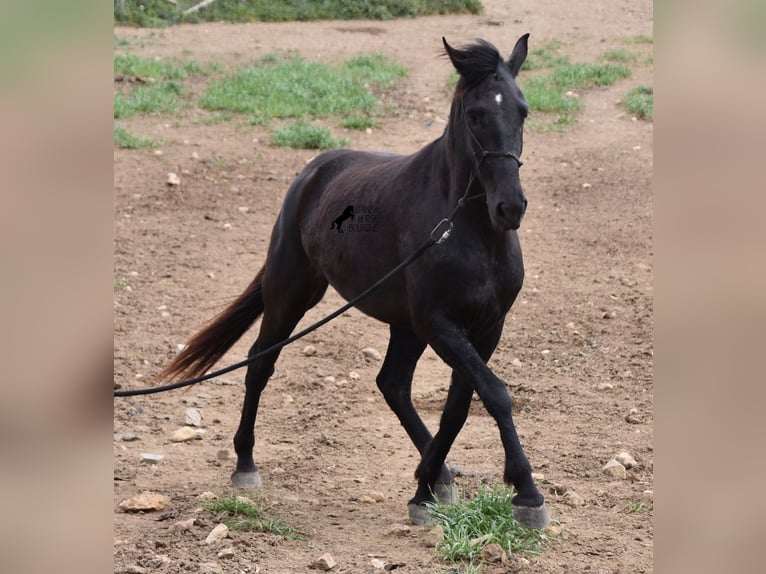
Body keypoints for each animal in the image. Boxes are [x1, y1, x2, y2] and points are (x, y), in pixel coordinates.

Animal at [159, 36, 548, 532]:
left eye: (523, 110)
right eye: (475, 113)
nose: (510, 208)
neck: (466, 228)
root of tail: (314, 171)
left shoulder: (485, 327)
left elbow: (460, 407)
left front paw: (427, 489)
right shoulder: (440, 324)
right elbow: (495, 395)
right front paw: (526, 492)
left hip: (401, 324)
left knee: (393, 384)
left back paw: (437, 475)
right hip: (291, 294)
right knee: (260, 364)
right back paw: (245, 464)